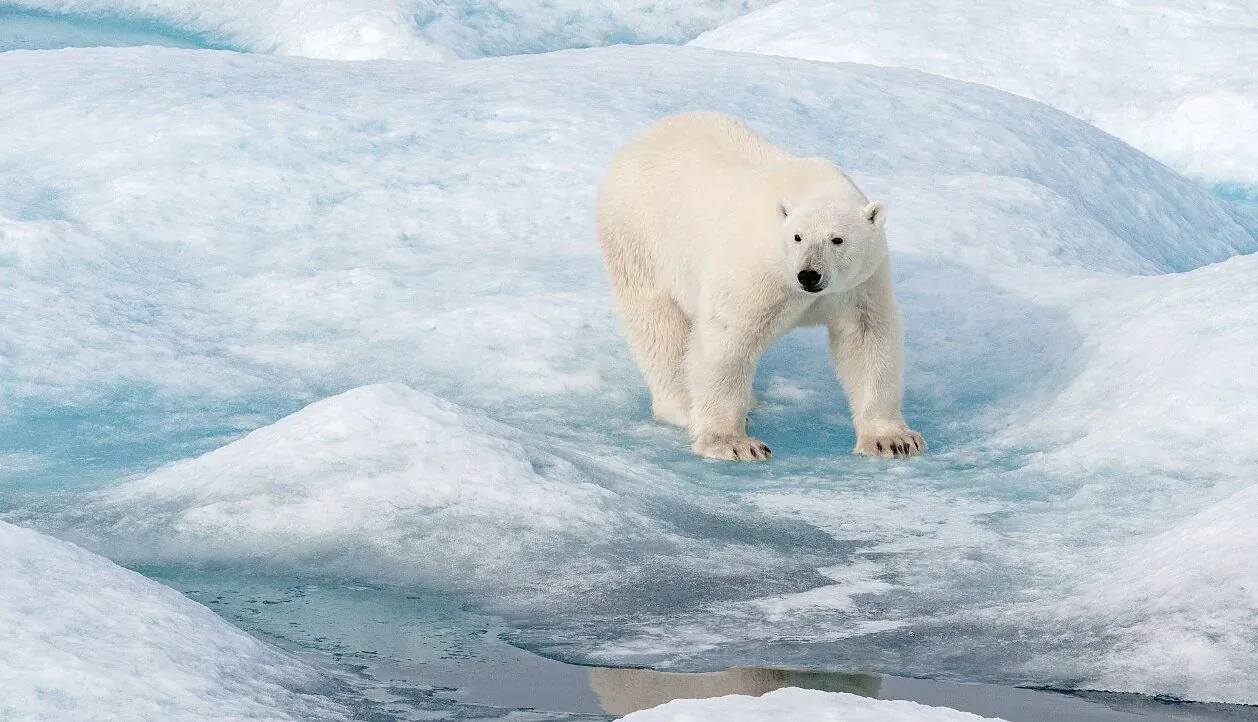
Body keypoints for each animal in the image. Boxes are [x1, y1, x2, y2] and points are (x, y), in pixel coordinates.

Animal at [596, 111, 925, 462]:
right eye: (797, 237)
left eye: (837, 239)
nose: (809, 275)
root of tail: (638, 142)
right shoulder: (758, 268)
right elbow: (727, 337)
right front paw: (734, 443)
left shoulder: (859, 282)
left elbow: (866, 337)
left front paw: (893, 440)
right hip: (640, 241)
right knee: (659, 327)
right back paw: (684, 407)